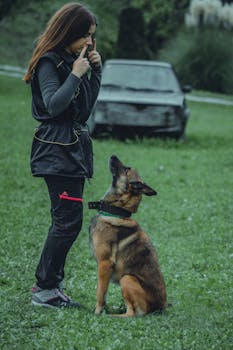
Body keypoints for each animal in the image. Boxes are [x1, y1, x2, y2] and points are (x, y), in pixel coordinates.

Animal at [88, 156, 167, 318]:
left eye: (126, 169)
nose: (113, 155)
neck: (117, 211)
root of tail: (161, 308)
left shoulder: (104, 263)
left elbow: (100, 293)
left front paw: (97, 313)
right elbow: (103, 293)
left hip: (127, 278)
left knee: (132, 314)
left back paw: (113, 315)